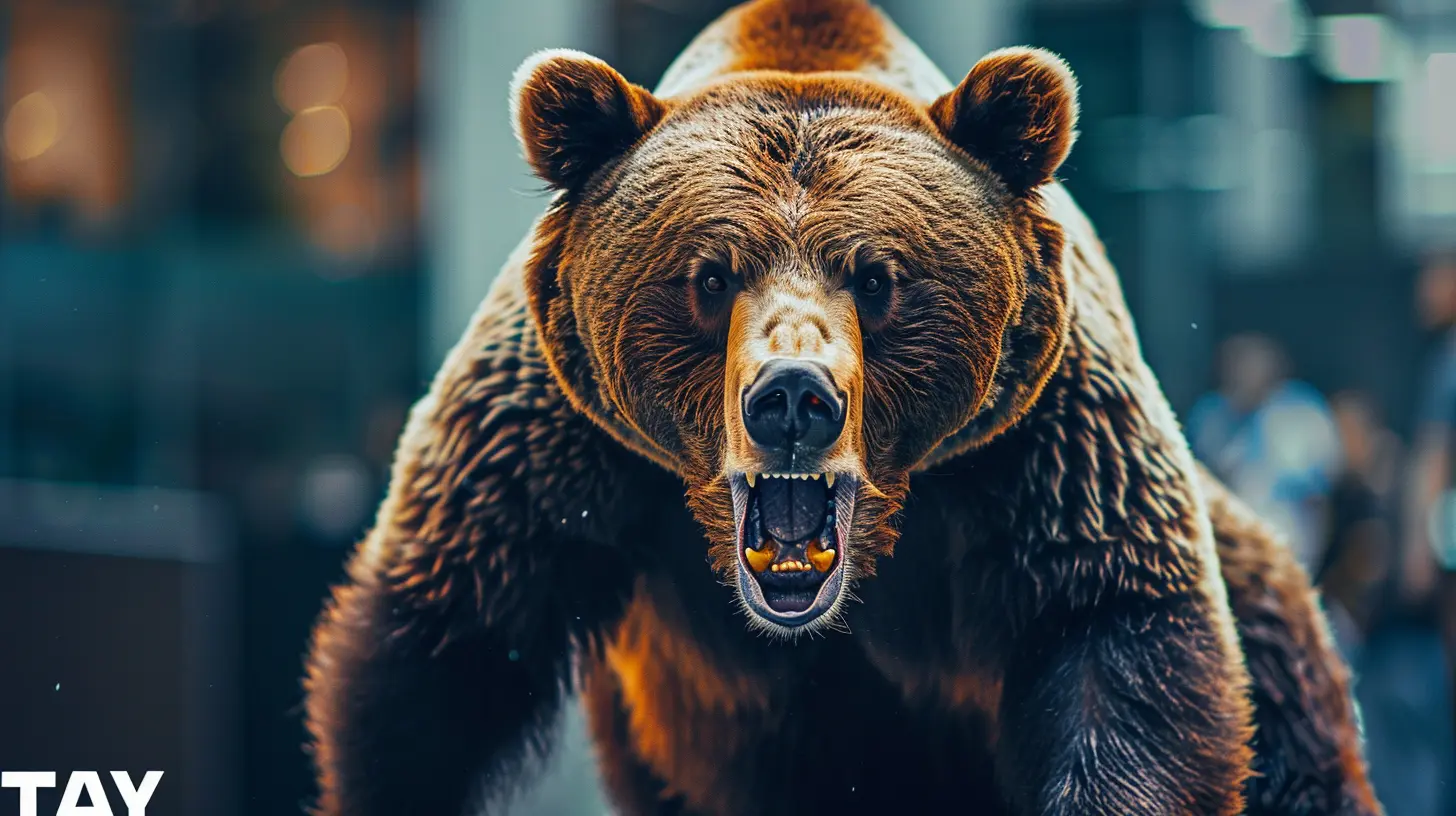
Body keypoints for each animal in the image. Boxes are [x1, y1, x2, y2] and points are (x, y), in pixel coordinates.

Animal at [303, 1, 1381, 814]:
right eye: (709, 275)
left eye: (877, 276)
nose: (792, 395)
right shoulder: (553, 445)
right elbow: (444, 655)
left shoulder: (1044, 442)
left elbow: (1110, 632)